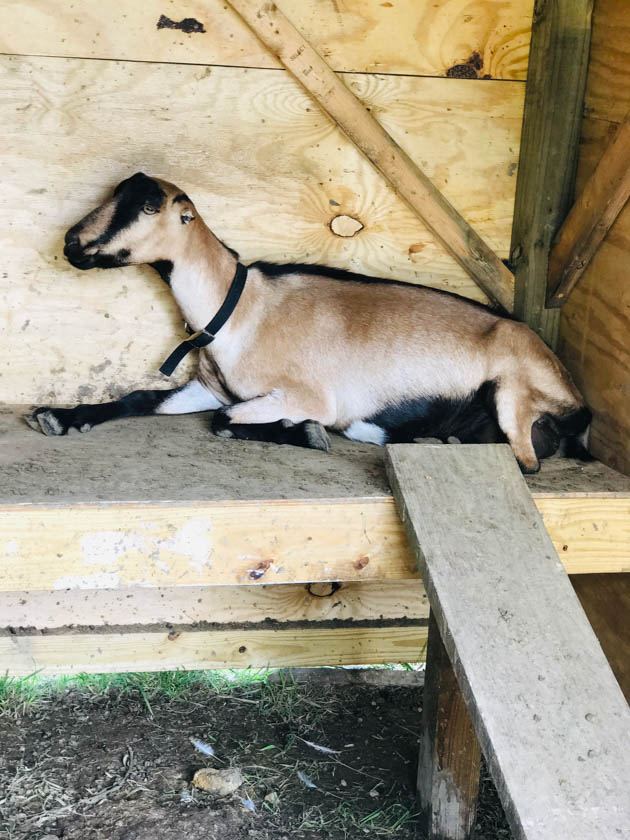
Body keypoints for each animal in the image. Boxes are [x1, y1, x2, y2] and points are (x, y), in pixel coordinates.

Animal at [28, 171, 592, 472]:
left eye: (149, 205)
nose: (72, 244)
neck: (242, 309)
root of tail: (577, 400)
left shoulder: (304, 395)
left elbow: (225, 421)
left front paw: (307, 434)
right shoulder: (209, 388)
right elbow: (142, 397)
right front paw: (59, 416)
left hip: (512, 393)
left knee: (527, 459)